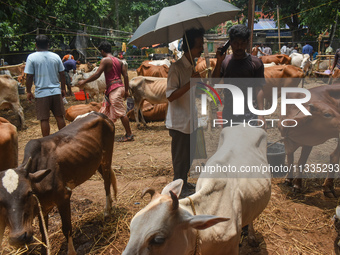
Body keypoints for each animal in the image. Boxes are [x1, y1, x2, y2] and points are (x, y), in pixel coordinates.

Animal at [0, 112, 117, 254]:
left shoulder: (64, 197)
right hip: (96, 162)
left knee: (106, 182)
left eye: (29, 193)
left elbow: (66, 228)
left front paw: (71, 251)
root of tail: (99, 114)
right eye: (0, 201)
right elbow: (43, 233)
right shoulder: (42, 207)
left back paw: (107, 211)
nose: (18, 238)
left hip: (106, 158)